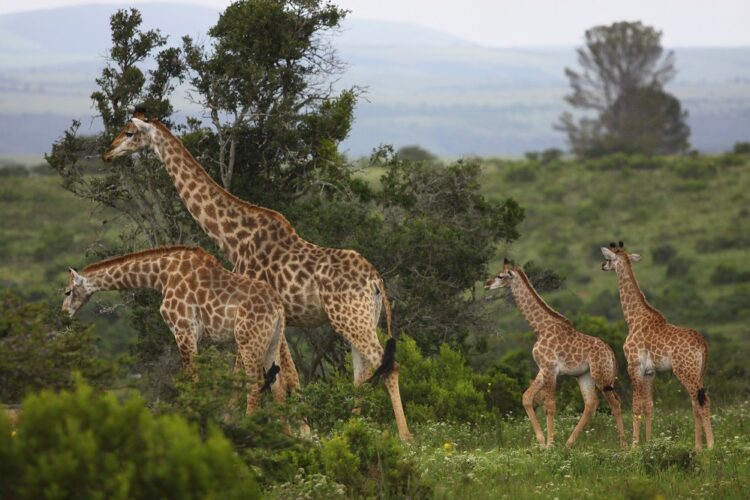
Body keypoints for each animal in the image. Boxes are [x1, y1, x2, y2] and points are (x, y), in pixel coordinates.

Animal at [62, 246, 290, 414]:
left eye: (67, 291)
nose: (63, 314)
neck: (161, 275)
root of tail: (278, 306)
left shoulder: (183, 329)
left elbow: (192, 378)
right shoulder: (194, 335)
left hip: (248, 340)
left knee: (255, 384)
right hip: (272, 341)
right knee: (279, 387)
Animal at [101, 110, 412, 442]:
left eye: (130, 132)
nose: (108, 152)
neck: (233, 238)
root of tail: (376, 280)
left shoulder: (254, 312)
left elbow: (249, 371)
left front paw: (236, 421)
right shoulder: (278, 318)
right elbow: (287, 373)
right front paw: (301, 429)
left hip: (350, 318)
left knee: (387, 364)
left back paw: (405, 438)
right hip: (362, 318)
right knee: (362, 371)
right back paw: (353, 429)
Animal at [484, 260, 624, 448]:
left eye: (500, 275)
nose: (486, 284)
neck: (540, 329)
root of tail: (611, 353)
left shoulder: (550, 368)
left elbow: (550, 405)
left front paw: (550, 444)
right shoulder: (543, 369)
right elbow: (526, 397)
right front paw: (541, 442)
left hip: (601, 374)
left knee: (615, 403)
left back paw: (626, 445)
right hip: (584, 375)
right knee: (591, 403)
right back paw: (568, 444)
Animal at [600, 241, 716, 450]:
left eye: (608, 257)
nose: (603, 266)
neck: (633, 318)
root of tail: (703, 344)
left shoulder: (633, 365)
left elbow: (636, 405)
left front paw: (635, 445)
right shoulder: (650, 371)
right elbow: (649, 406)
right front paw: (649, 442)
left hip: (684, 370)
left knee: (701, 402)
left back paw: (710, 446)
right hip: (699, 371)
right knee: (698, 402)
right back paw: (698, 446)